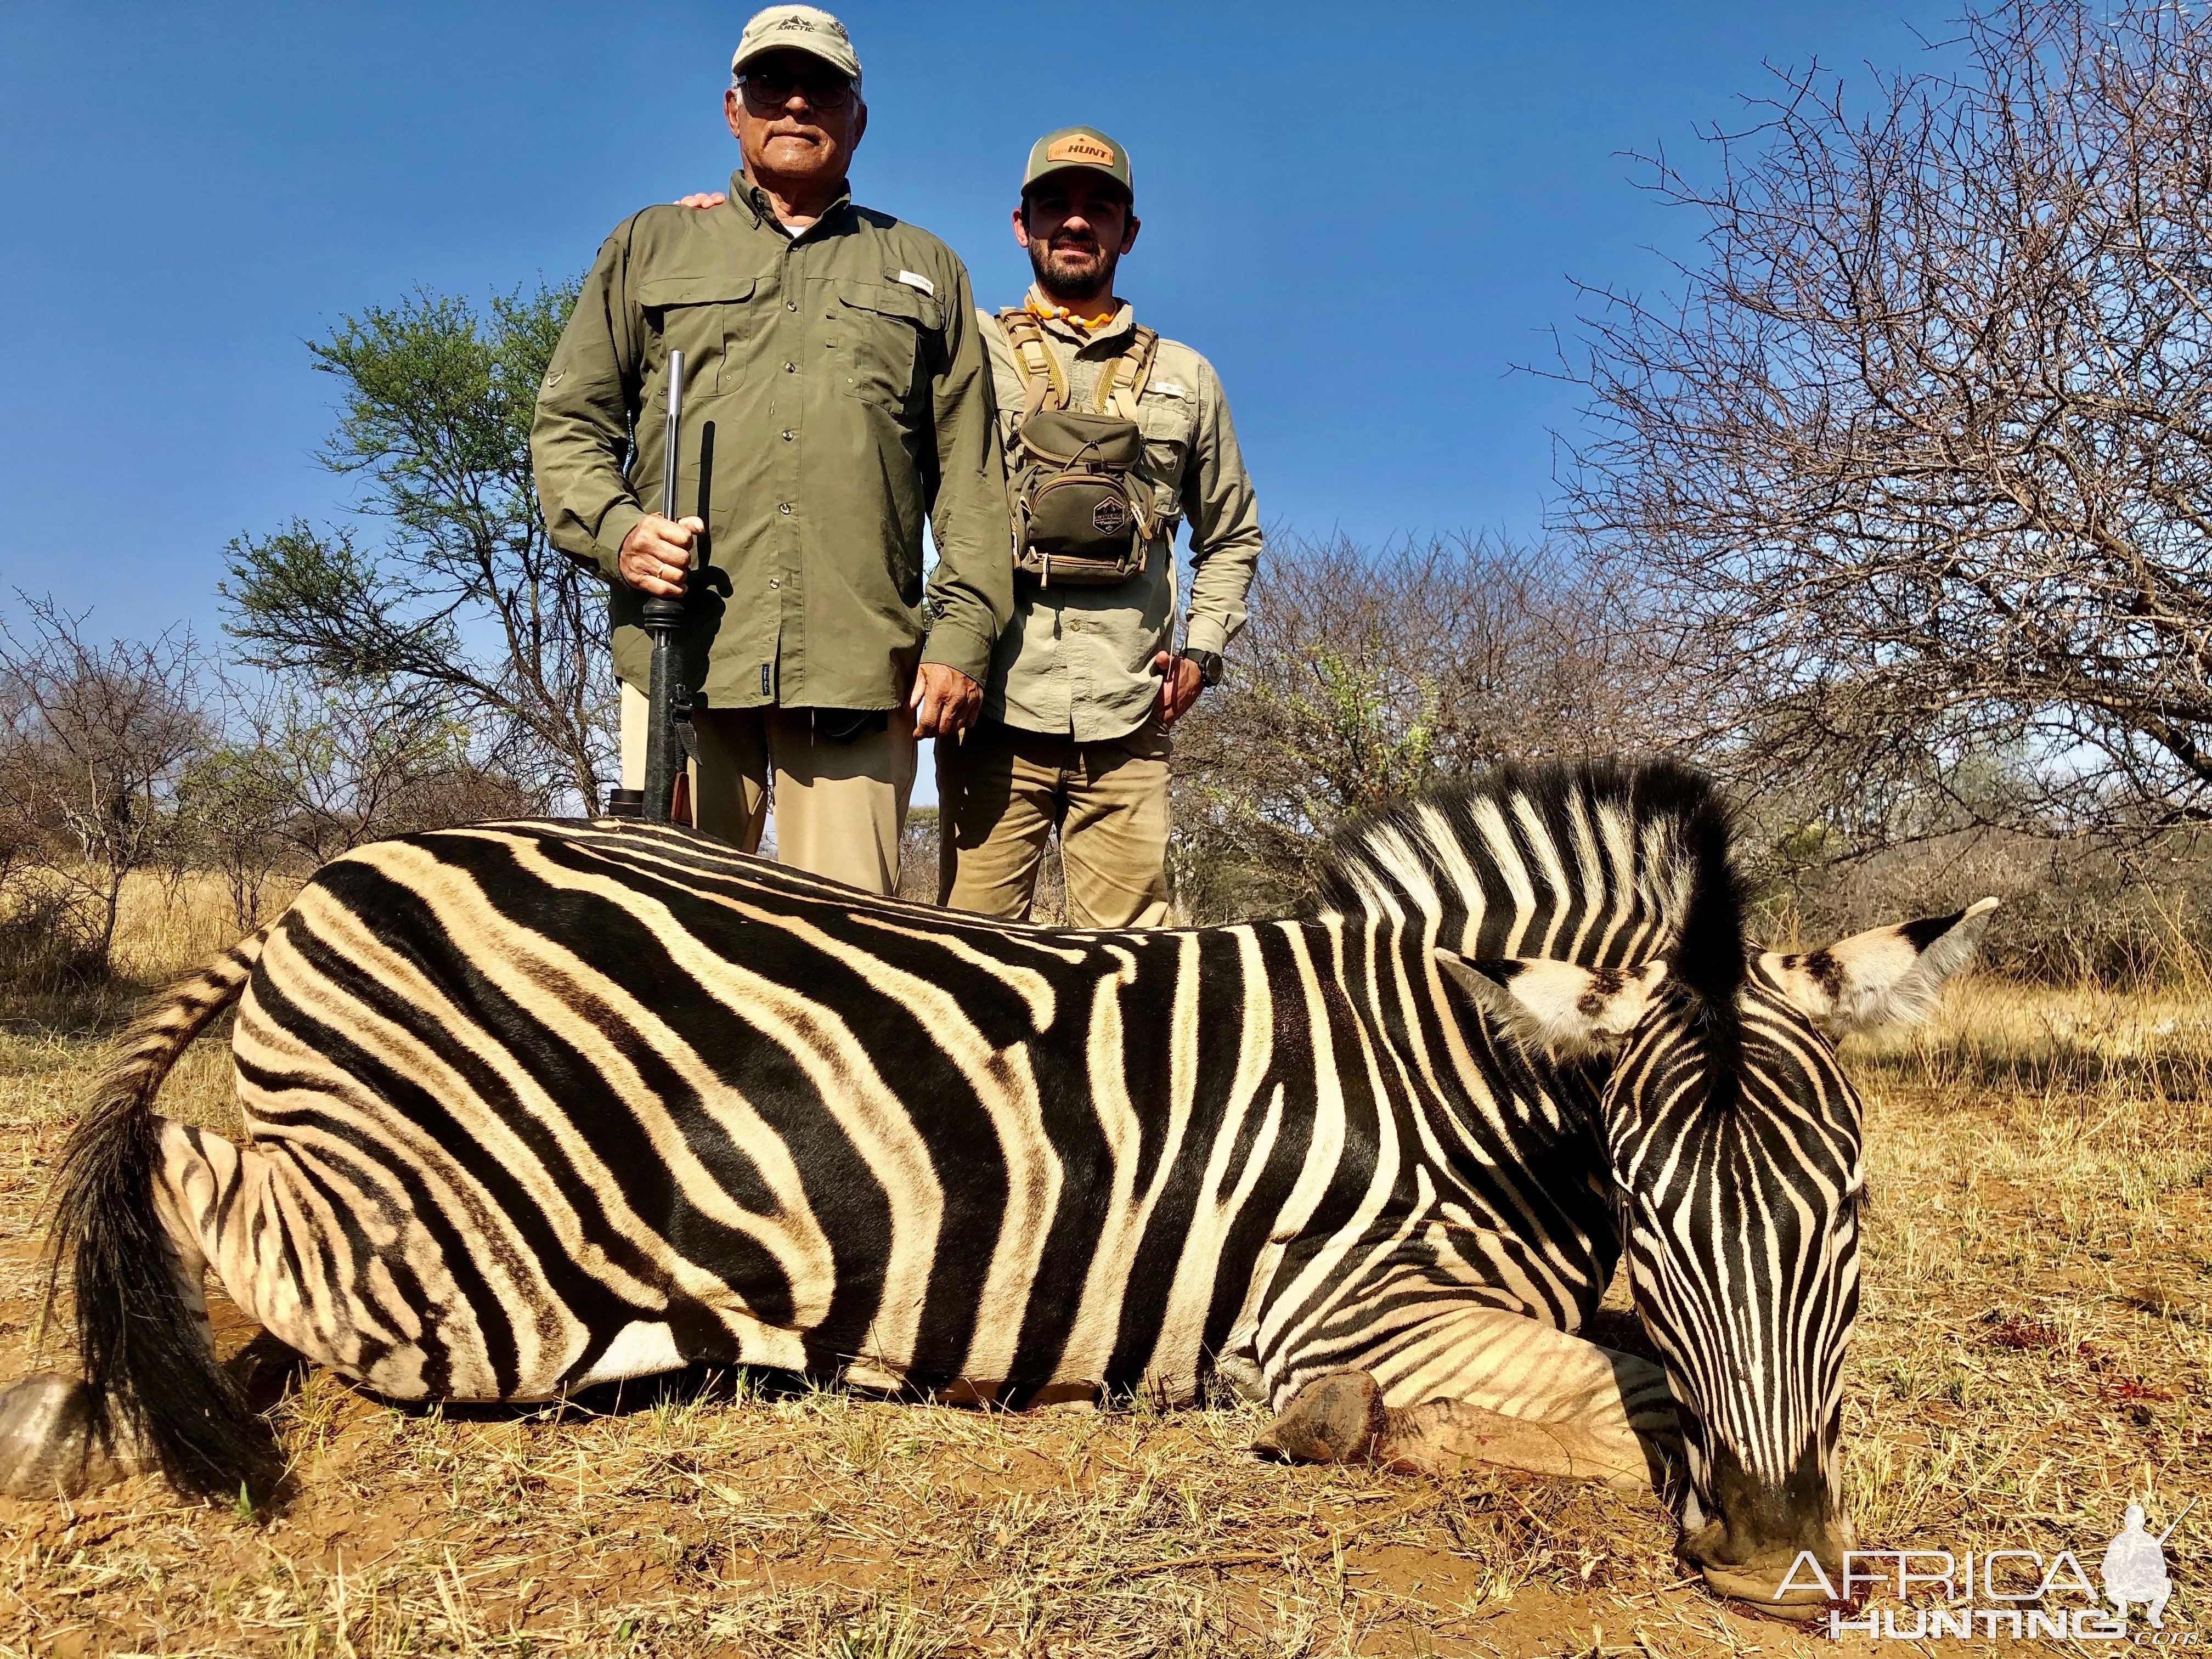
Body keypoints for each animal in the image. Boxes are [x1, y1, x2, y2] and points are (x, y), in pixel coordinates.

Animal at [0, 765, 1990, 1628]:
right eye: (1654, 1213)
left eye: (1850, 1219)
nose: (1772, 1546)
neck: (1469, 1076)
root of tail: (332, 875)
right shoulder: (1347, 1298)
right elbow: (1609, 1387)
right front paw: (1344, 1429)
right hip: (464, 1276)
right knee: (180, 1175)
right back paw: (79, 1406)